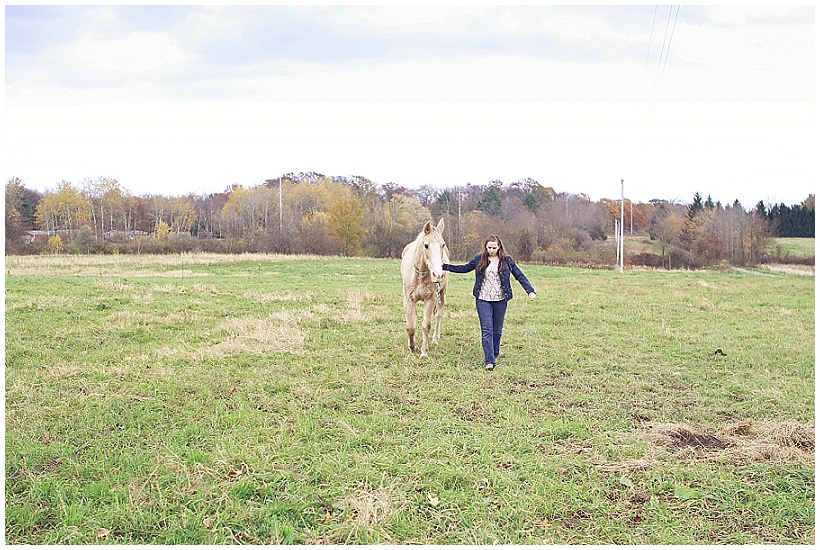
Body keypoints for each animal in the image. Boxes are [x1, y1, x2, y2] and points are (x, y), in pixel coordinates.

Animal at [398, 218, 448, 360]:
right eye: (426, 245)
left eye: (443, 245)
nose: (438, 275)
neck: (420, 275)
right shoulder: (409, 300)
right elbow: (410, 326)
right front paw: (412, 346)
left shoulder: (430, 299)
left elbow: (426, 326)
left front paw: (424, 353)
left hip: (442, 294)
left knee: (438, 315)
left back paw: (435, 339)